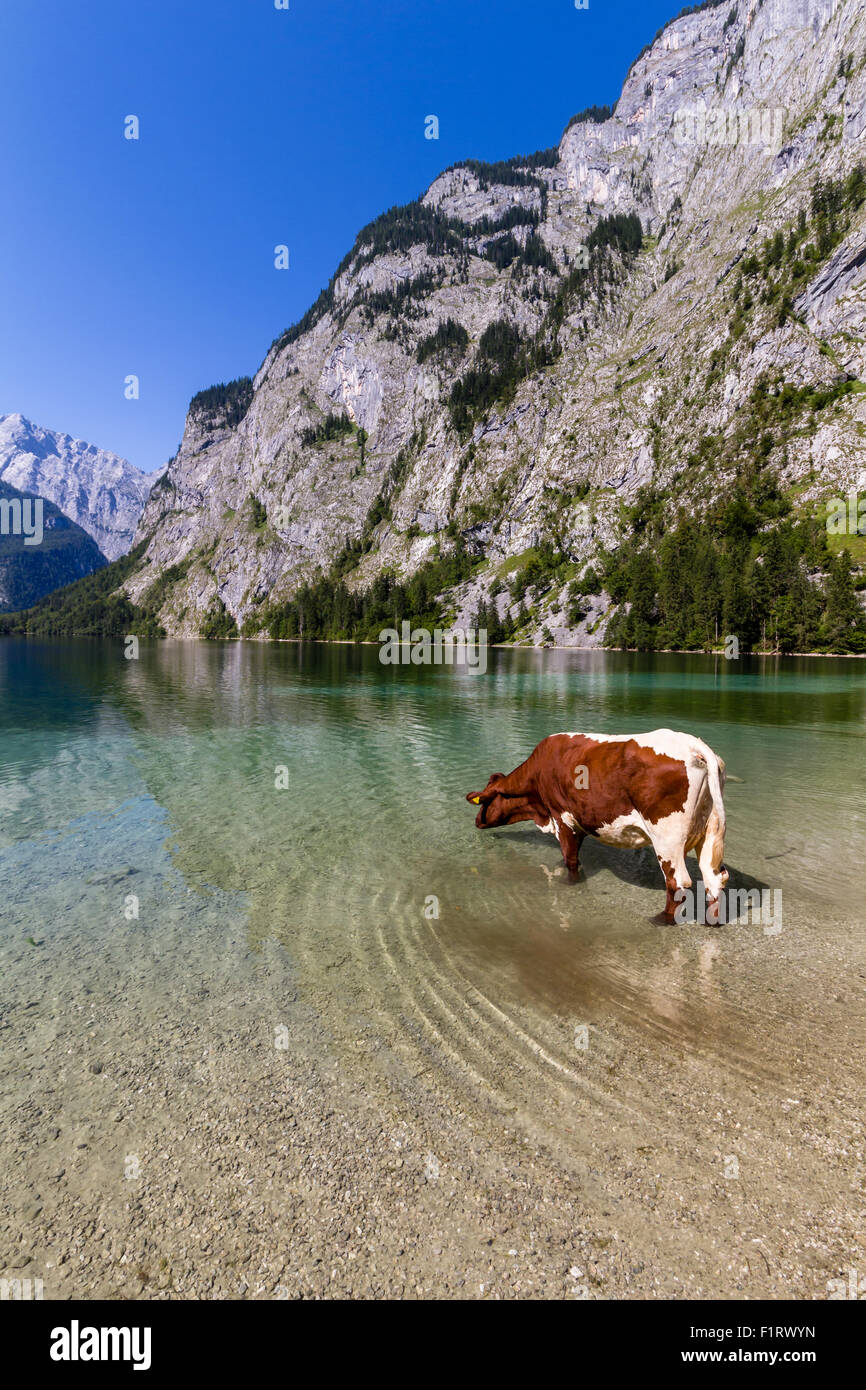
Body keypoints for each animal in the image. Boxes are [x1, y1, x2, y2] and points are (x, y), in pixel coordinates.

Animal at [466, 729, 729, 924]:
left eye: (486, 801)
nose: (477, 821)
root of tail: (693, 744)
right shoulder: (581, 821)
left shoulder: (562, 818)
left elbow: (570, 858)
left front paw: (569, 882)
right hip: (710, 831)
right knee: (713, 876)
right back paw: (711, 920)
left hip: (667, 838)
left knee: (678, 881)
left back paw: (663, 919)